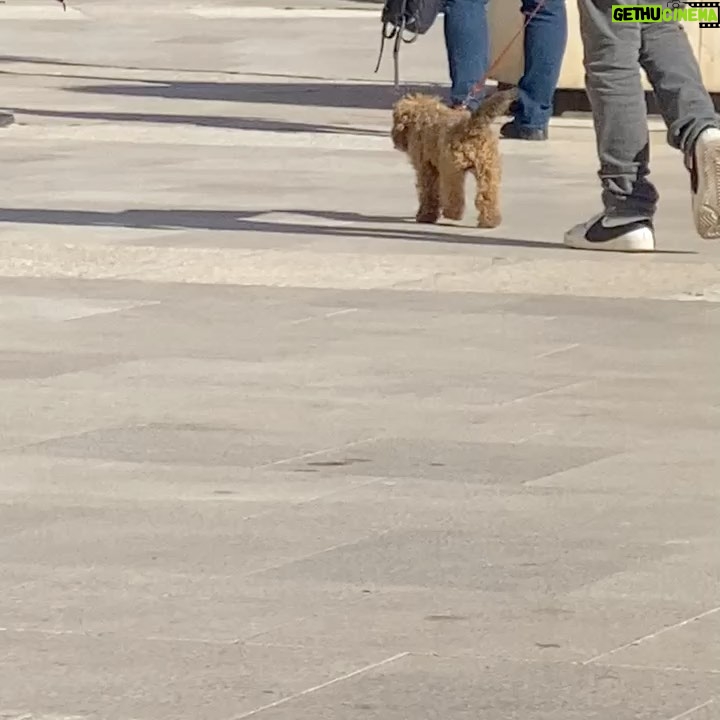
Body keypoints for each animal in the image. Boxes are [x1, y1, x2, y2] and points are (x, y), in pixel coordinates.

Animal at [390, 89, 516, 228]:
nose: (395, 140)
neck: (426, 119)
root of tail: (471, 128)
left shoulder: (426, 169)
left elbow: (428, 194)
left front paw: (425, 215)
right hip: (488, 170)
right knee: (487, 195)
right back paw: (490, 220)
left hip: (452, 168)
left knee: (455, 195)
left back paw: (452, 214)